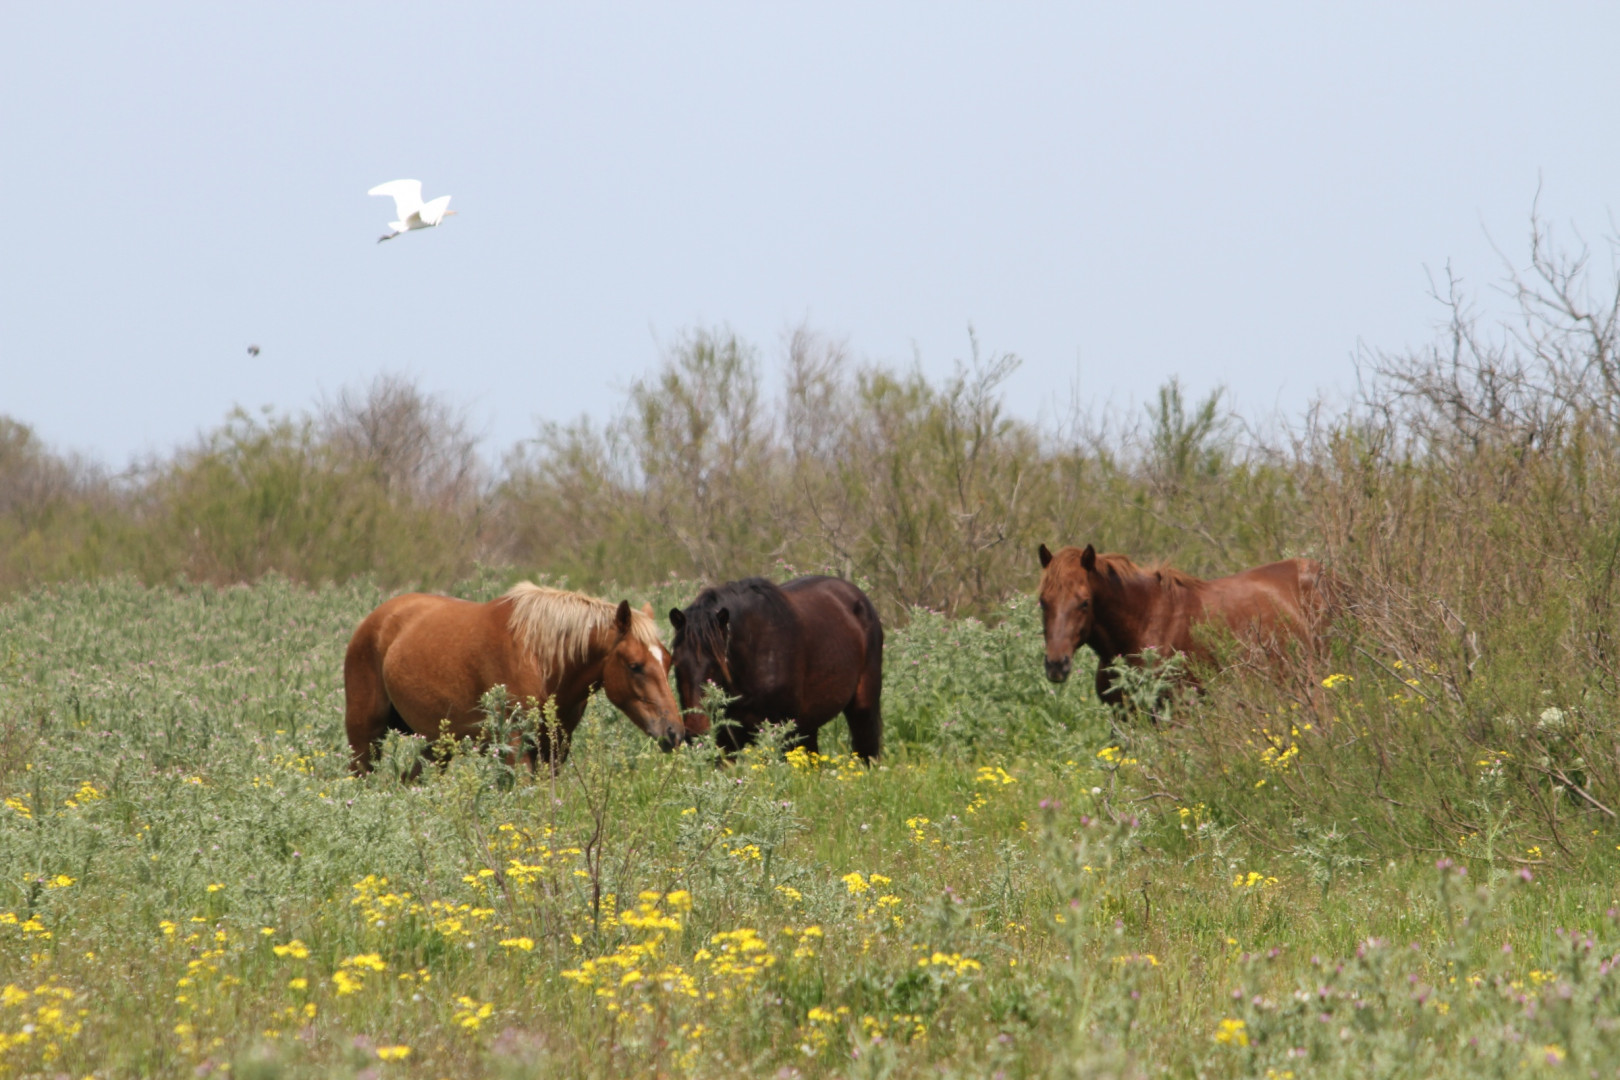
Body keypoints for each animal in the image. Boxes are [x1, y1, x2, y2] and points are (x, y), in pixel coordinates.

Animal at [348, 582, 683, 777]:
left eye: (668, 661)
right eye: (635, 665)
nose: (675, 732)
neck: (540, 659)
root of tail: (376, 620)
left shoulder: (553, 750)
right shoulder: (515, 747)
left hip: (436, 744)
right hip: (364, 738)